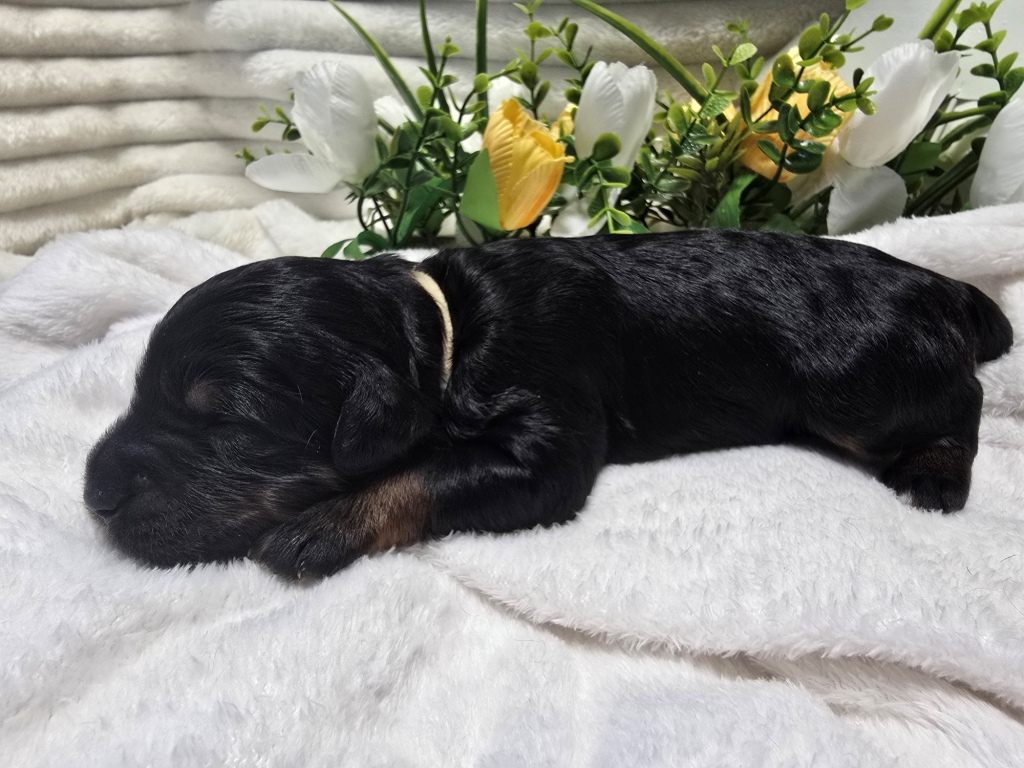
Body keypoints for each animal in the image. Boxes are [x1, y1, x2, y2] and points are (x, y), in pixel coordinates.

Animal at [83, 230, 1013, 578]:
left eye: (226, 420)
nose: (91, 495)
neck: (447, 328)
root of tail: (941, 286)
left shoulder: (550, 433)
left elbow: (427, 475)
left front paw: (322, 526)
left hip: (858, 387)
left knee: (964, 401)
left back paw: (935, 477)